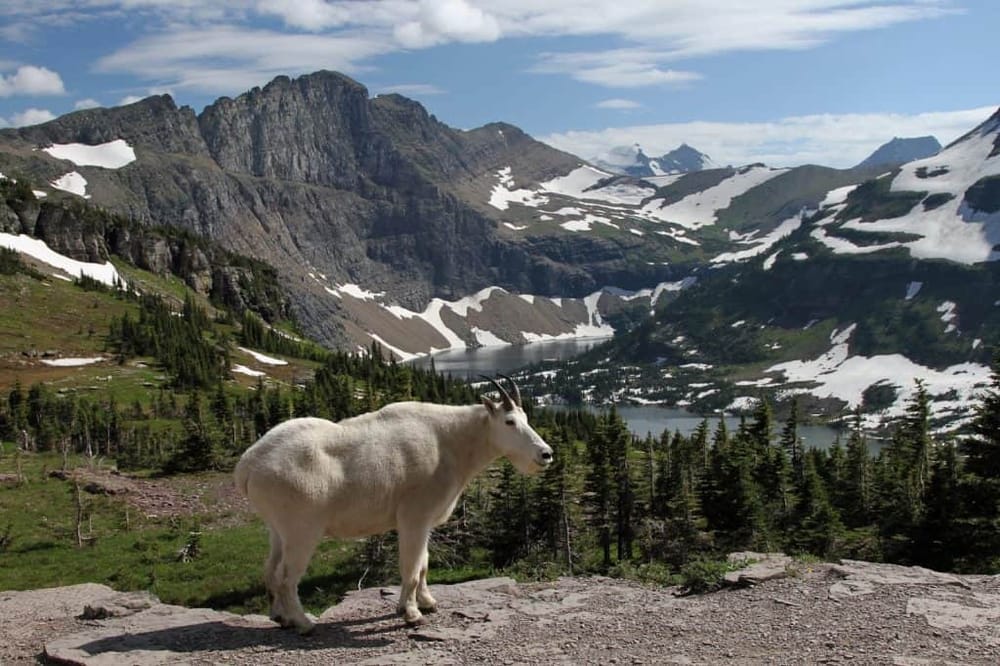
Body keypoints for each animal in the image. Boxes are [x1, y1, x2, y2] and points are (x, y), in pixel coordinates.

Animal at [234, 375, 553, 633]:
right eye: (509, 422)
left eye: (526, 418)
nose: (546, 454)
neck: (451, 443)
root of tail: (248, 465)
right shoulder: (414, 517)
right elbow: (410, 567)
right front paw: (411, 614)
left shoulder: (425, 522)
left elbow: (423, 564)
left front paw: (427, 602)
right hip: (302, 530)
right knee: (287, 577)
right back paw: (303, 623)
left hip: (277, 529)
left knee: (270, 570)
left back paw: (281, 618)